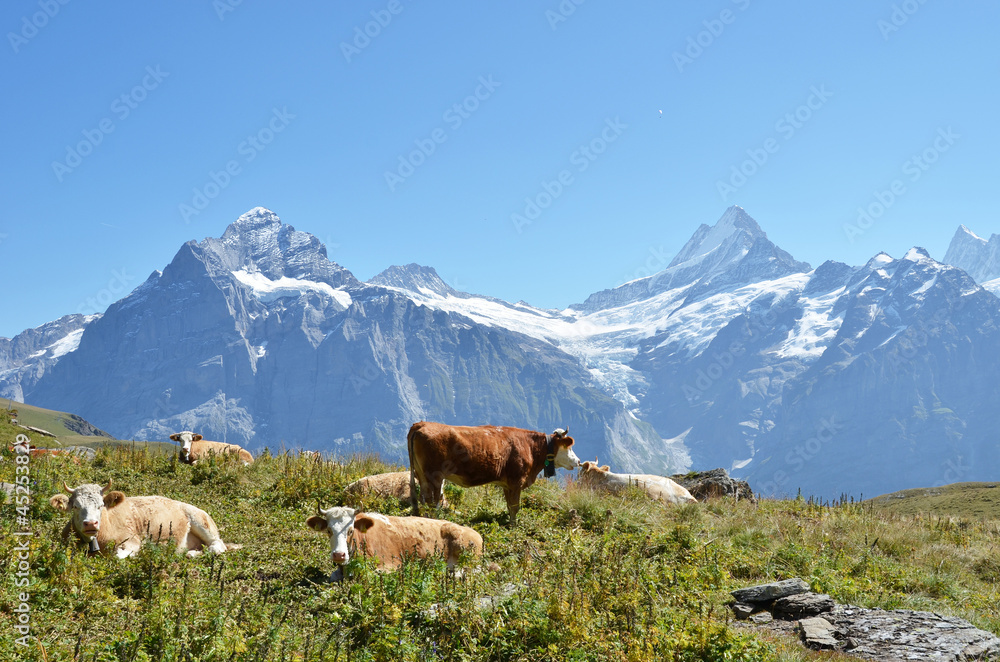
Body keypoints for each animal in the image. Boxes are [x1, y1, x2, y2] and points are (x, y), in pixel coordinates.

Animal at [50, 482, 238, 560]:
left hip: (202, 522)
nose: (90, 523)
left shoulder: (132, 540)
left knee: (217, 545)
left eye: (101, 505)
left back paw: (193, 553)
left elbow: (118, 557)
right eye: (75, 506)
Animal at [404, 422, 580, 528]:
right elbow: (515, 507)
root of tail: (421, 424)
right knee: (432, 501)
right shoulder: (516, 481)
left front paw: (511, 524)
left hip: (421, 474)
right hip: (434, 475)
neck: (530, 447)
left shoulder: (507, 484)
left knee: (424, 499)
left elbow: (509, 506)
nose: (578, 461)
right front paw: (514, 528)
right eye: (569, 447)